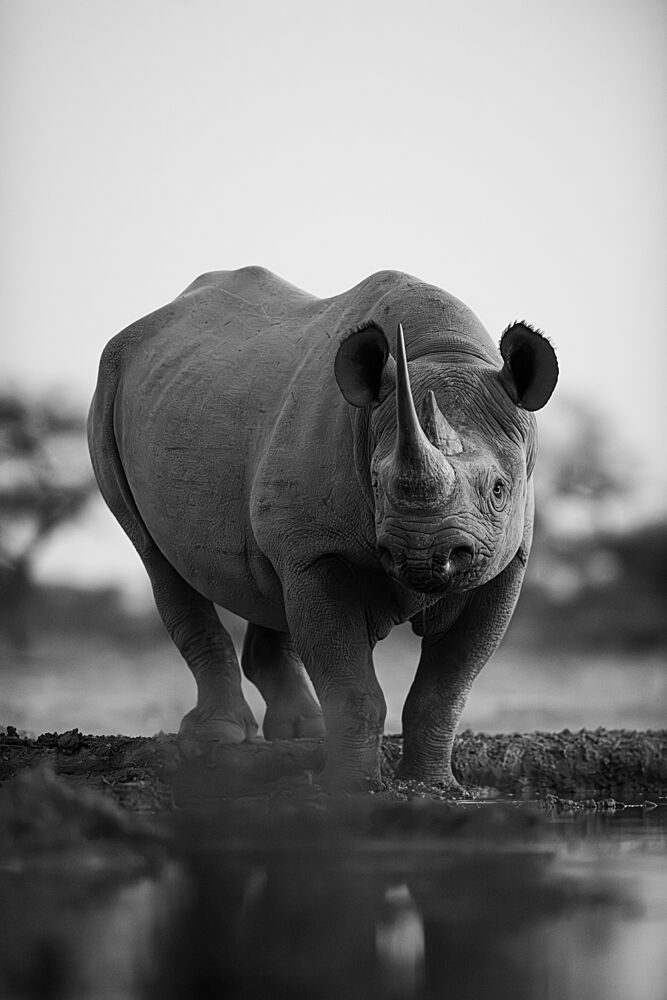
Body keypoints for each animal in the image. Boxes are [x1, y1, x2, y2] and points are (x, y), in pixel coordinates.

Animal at [88, 267, 558, 788]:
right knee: (157, 559)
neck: (444, 352)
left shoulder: (505, 563)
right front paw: (353, 789)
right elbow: (352, 683)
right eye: (376, 483)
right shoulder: (318, 551)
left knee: (269, 581)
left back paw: (301, 735)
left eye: (499, 490)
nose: (424, 555)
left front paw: (434, 786)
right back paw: (221, 740)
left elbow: (446, 689)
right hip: (108, 385)